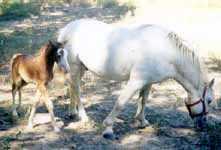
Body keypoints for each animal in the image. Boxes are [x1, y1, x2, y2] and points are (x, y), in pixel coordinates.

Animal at [57, 18, 215, 139]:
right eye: (209, 100)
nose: (204, 124)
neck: (165, 52)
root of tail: (66, 29)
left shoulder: (148, 82)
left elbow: (143, 100)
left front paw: (142, 121)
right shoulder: (135, 82)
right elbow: (120, 103)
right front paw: (108, 129)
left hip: (81, 68)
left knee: (72, 86)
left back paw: (72, 112)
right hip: (75, 66)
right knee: (77, 89)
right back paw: (83, 116)